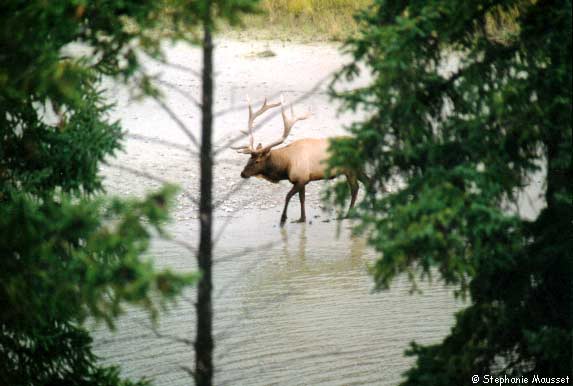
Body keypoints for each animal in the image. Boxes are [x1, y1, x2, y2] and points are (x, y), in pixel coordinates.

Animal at [231, 94, 368, 226]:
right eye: (249, 159)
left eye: (257, 161)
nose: (243, 173)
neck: (286, 166)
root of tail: (364, 145)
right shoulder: (302, 180)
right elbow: (302, 198)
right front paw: (302, 218)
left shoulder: (302, 178)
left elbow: (288, 196)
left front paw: (283, 218)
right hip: (357, 168)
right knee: (368, 181)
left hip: (350, 169)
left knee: (355, 188)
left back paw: (348, 214)